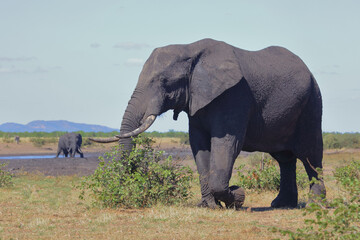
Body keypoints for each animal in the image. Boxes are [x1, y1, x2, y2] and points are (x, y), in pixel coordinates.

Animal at [90, 39, 326, 208]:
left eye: (164, 82)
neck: (190, 49)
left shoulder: (235, 96)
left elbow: (227, 143)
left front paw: (237, 196)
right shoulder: (197, 100)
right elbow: (199, 145)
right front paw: (209, 205)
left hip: (312, 103)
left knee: (309, 155)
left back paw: (315, 205)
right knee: (285, 159)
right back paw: (281, 204)